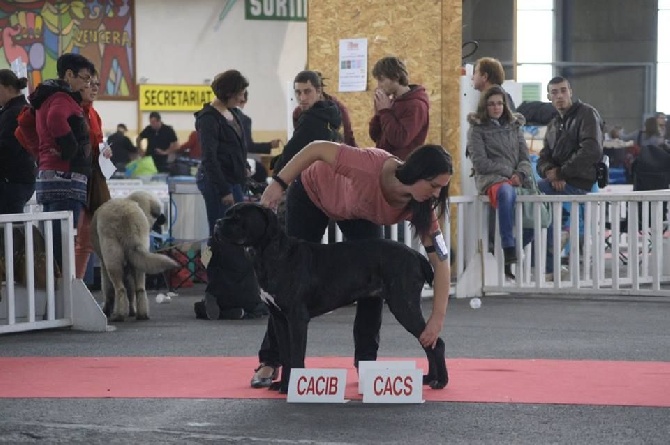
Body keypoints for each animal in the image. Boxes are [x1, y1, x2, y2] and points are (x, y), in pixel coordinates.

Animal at [90, 191, 178, 320]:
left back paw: (119, 315)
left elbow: (108, 290)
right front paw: (132, 311)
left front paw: (106, 310)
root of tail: (126, 215)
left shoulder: (104, 266)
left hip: (113, 260)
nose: (162, 218)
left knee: (120, 289)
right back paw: (141, 314)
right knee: (140, 289)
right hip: (139, 262)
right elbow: (131, 292)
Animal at [214, 201, 446, 392]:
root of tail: (416, 255)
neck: (269, 253)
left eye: (238, 217)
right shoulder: (279, 318)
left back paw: (440, 381)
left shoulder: (296, 318)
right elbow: (286, 355)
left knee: (435, 342)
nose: (217, 223)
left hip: (403, 304)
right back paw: (429, 378)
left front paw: (292, 387)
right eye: (227, 213)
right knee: (428, 340)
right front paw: (283, 385)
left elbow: (296, 354)